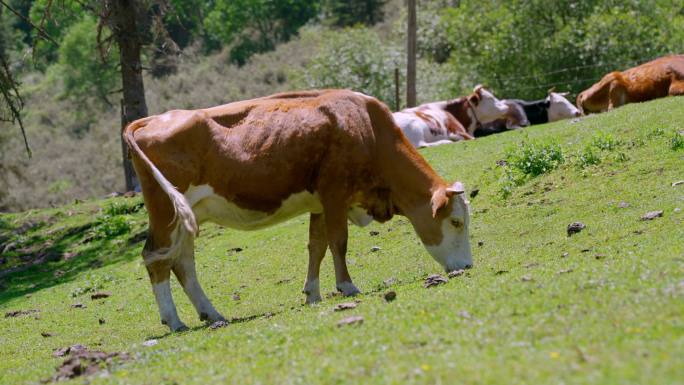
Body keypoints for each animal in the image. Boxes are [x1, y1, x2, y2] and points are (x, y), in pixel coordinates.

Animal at [123, 89, 472, 330]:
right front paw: (347, 286)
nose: (467, 266)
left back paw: (213, 314)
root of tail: (149, 120)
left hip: (186, 218)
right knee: (155, 258)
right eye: (456, 221)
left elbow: (317, 246)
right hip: (165, 212)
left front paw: (313, 293)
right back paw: (175, 321)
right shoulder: (334, 194)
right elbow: (338, 242)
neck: (367, 129)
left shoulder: (319, 202)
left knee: (182, 263)